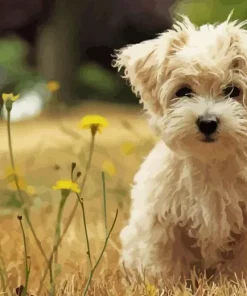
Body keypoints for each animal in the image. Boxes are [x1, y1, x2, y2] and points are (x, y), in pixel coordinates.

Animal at [113, 14, 247, 284]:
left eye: (232, 91)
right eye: (183, 91)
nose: (207, 122)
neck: (210, 162)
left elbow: (238, 265)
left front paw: (233, 284)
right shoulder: (164, 222)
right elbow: (169, 264)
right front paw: (170, 286)